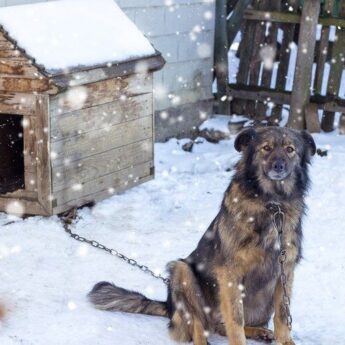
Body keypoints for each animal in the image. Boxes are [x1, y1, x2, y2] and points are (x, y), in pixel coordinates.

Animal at [88, 126, 314, 344]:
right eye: (266, 148)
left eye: (290, 149)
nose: (279, 166)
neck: (273, 204)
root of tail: (169, 307)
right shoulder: (230, 275)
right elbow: (235, 321)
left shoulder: (285, 270)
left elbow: (282, 315)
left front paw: (286, 341)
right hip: (181, 272)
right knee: (199, 323)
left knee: (221, 326)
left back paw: (259, 331)